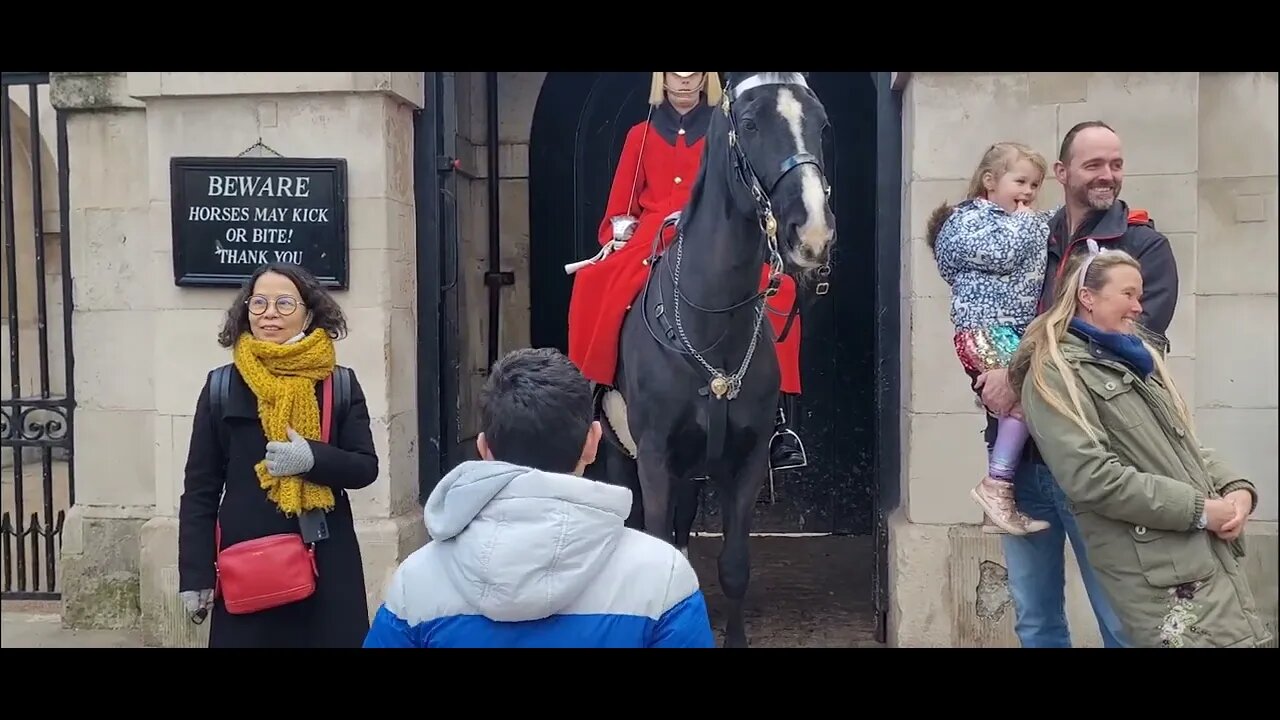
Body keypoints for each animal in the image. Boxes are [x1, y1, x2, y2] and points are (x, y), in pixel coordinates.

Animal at [593, 73, 834, 645]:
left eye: (821, 124)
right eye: (749, 124)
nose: (812, 234)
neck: (711, 319)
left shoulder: (744, 465)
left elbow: (734, 566)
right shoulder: (654, 458)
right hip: (620, 453)